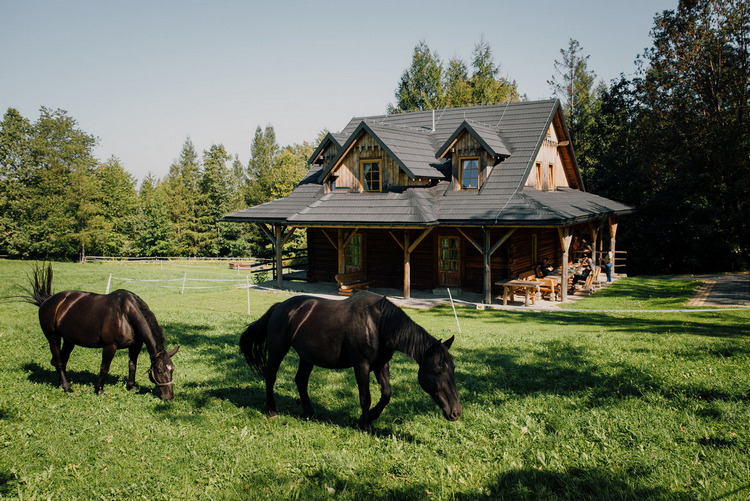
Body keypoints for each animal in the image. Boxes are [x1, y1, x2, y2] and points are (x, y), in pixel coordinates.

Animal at [19, 263, 179, 400]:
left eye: (172, 369)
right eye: (159, 371)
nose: (169, 397)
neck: (126, 314)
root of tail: (46, 301)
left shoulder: (136, 345)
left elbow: (132, 365)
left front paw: (132, 386)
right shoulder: (110, 346)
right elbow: (104, 368)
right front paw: (99, 390)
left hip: (69, 341)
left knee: (62, 360)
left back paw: (61, 384)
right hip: (53, 338)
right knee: (58, 361)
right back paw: (67, 387)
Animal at [239, 291, 461, 431]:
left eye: (453, 369)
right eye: (438, 371)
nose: (456, 412)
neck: (378, 324)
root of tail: (280, 307)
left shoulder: (381, 365)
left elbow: (386, 394)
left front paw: (369, 417)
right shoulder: (361, 365)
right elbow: (366, 397)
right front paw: (365, 424)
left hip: (306, 357)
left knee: (301, 381)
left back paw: (310, 413)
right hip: (278, 350)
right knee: (270, 377)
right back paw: (271, 410)